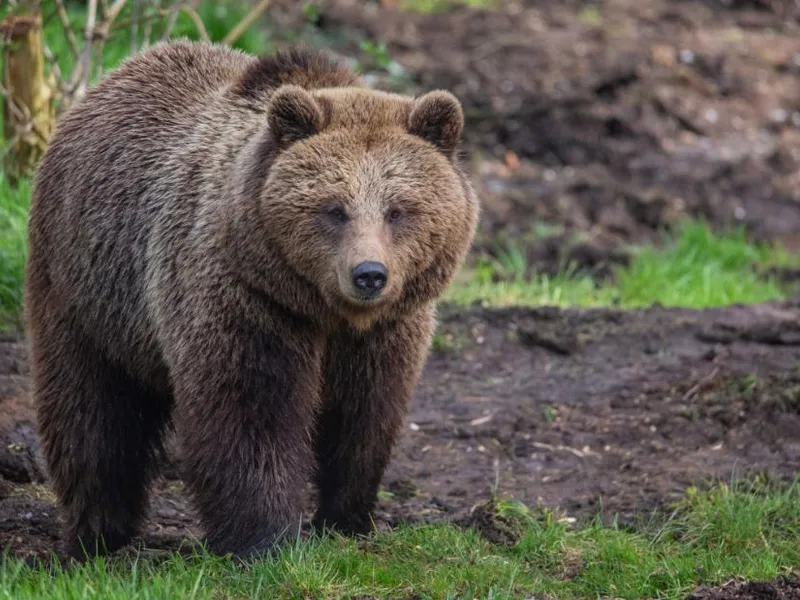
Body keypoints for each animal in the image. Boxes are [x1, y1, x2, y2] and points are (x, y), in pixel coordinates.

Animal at [25, 41, 478, 556]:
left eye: (398, 209)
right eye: (334, 209)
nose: (369, 275)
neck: (324, 310)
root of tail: (113, 78)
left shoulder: (386, 332)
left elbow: (364, 417)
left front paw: (347, 518)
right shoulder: (248, 300)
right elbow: (251, 411)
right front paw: (265, 539)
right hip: (86, 285)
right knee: (90, 408)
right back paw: (99, 530)